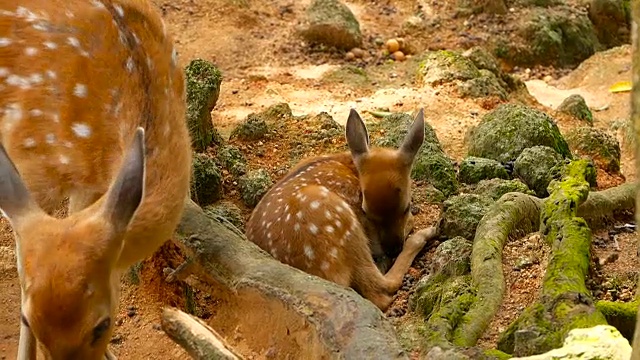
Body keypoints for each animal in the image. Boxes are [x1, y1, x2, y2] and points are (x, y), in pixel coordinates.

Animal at [248, 108, 438, 310]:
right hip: (341, 223)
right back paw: (425, 234)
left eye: (406, 207)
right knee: (380, 291)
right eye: (365, 212)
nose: (393, 249)